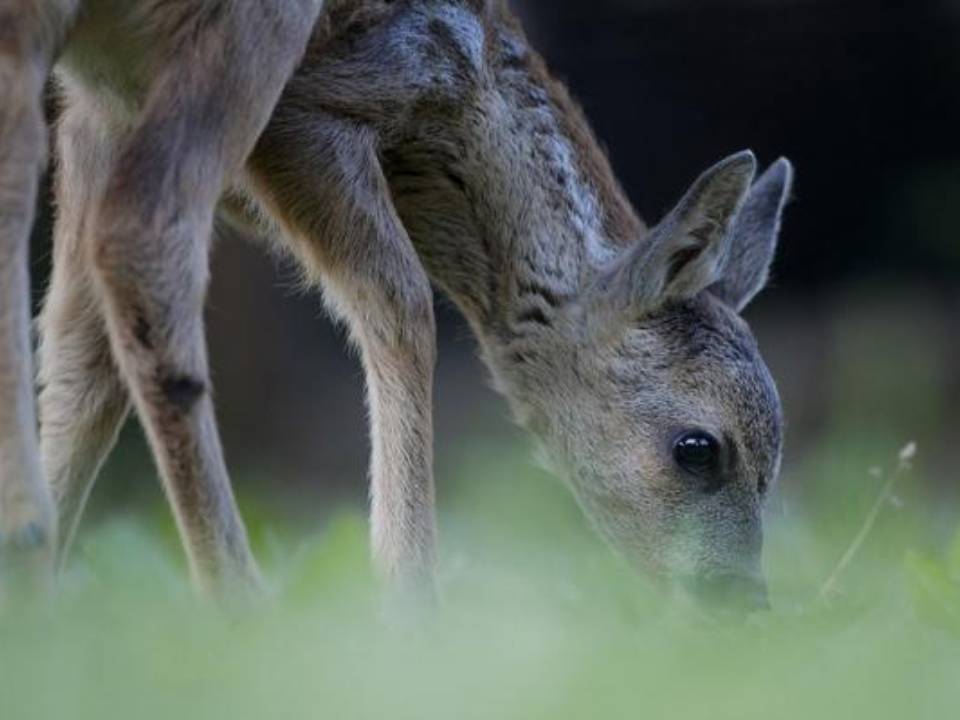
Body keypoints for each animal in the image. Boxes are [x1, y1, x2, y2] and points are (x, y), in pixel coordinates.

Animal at [35, 0, 788, 608]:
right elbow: (402, 305)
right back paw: (243, 606)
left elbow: (80, 362)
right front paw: (410, 614)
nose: (742, 601)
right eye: (697, 448)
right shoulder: (307, 110)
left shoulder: (94, 103)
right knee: (143, 232)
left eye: (773, 467)